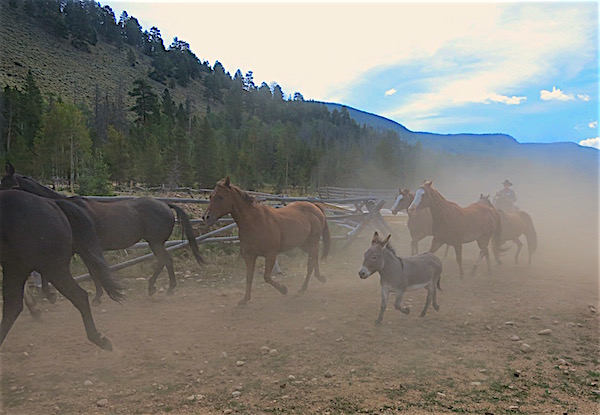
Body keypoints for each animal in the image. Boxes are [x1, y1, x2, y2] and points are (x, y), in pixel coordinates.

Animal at [0, 190, 123, 350]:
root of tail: (52, 203)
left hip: (52, 268)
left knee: (80, 296)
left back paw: (100, 339)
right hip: (17, 267)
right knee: (12, 307)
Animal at [1, 163, 205, 300]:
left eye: (6, 185)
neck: (67, 212)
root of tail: (165, 204)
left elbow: (93, 272)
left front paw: (96, 297)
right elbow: (92, 272)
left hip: (155, 242)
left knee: (165, 261)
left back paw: (163, 288)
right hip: (155, 242)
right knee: (164, 261)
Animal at [204, 177, 330, 308]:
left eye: (221, 197)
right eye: (211, 196)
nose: (206, 217)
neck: (255, 222)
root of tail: (315, 207)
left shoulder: (271, 254)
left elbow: (267, 277)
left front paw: (284, 289)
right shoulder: (249, 255)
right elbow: (249, 277)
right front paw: (245, 299)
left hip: (312, 242)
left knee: (310, 263)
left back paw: (303, 288)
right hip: (304, 244)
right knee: (315, 258)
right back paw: (320, 278)